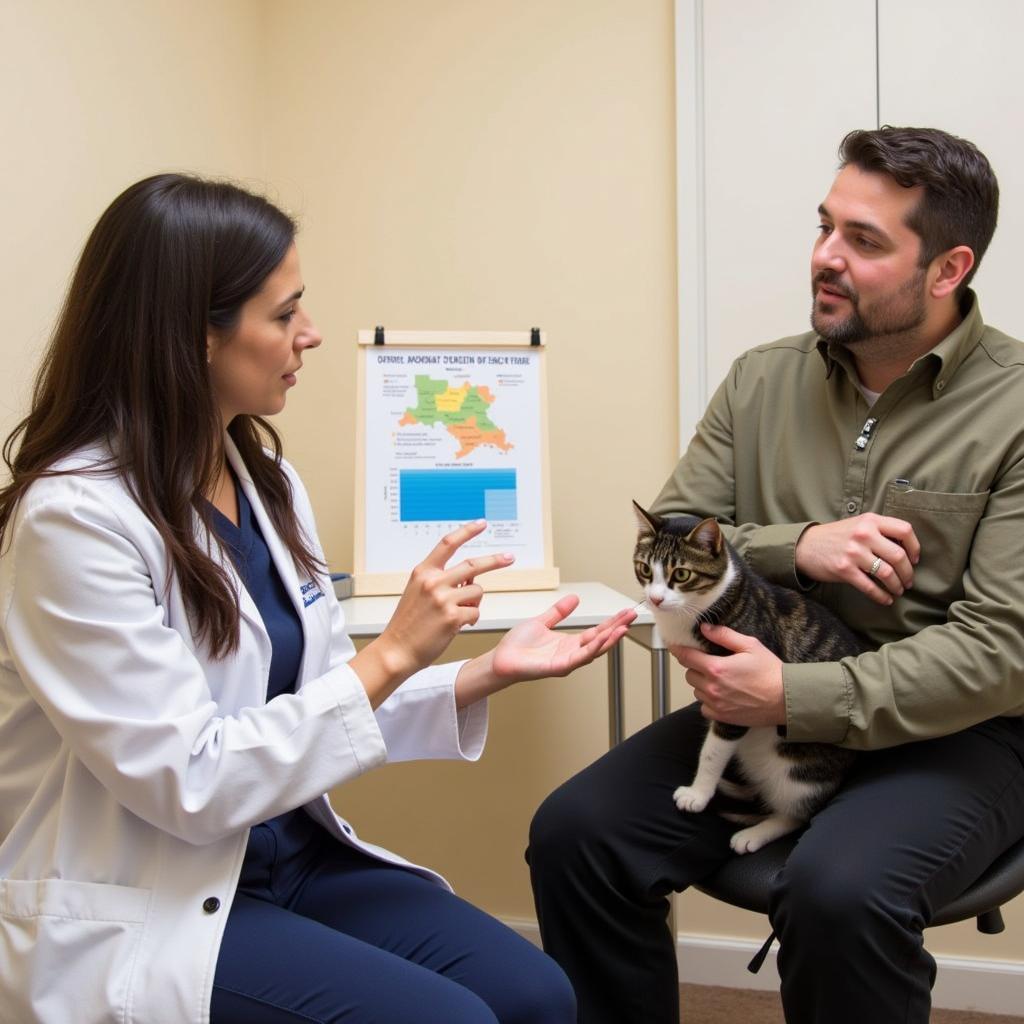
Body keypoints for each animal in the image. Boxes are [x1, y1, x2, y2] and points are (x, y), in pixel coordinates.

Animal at [630, 499, 872, 851]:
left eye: (682, 574)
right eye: (645, 569)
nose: (655, 599)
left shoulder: (734, 696)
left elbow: (714, 750)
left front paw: (698, 794)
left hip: (799, 774)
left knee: (796, 814)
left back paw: (753, 834)